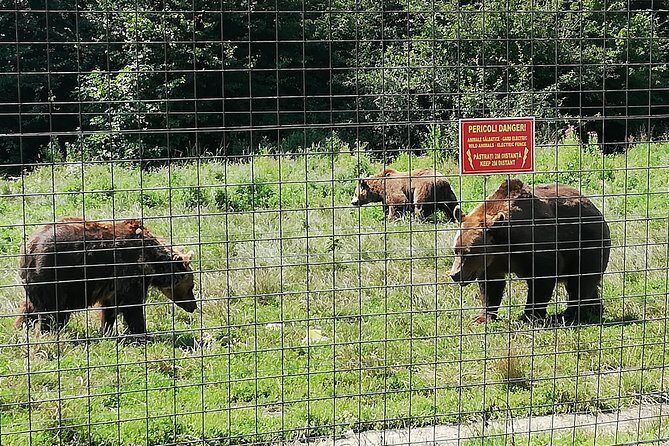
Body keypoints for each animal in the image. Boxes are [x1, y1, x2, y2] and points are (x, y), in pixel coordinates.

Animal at [14, 217, 197, 335]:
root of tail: (29, 247)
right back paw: (49, 333)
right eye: (192, 286)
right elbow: (132, 307)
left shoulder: (114, 284)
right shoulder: (130, 273)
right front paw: (141, 334)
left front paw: (106, 330)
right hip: (53, 274)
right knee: (51, 310)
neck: (152, 262)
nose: (193, 306)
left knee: (30, 307)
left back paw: (20, 328)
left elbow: (110, 308)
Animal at [449, 179, 611, 324]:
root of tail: (594, 208)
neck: (504, 244)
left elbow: (542, 278)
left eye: (470, 252)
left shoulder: (536, 244)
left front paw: (529, 316)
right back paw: (594, 309)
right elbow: (491, 286)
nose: (455, 275)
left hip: (586, 244)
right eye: (456, 250)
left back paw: (569, 314)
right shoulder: (492, 261)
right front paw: (482, 317)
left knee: (581, 281)